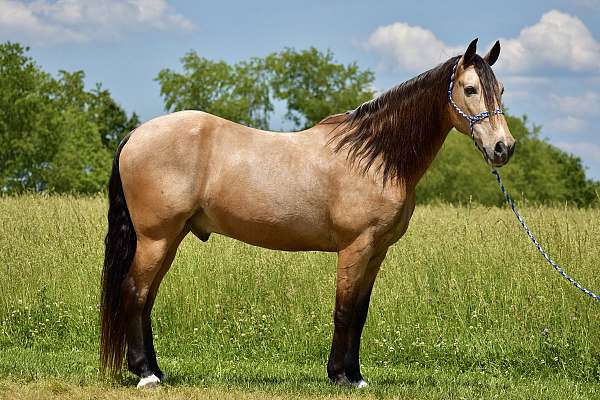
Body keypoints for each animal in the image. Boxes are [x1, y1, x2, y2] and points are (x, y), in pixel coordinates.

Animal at [99, 37, 516, 388]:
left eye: (500, 89)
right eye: (470, 89)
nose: (503, 148)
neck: (373, 158)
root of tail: (136, 134)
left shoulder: (377, 251)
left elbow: (360, 313)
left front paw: (356, 375)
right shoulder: (355, 247)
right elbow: (345, 310)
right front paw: (342, 377)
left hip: (170, 238)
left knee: (147, 298)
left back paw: (156, 371)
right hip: (156, 237)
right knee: (135, 293)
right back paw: (146, 375)